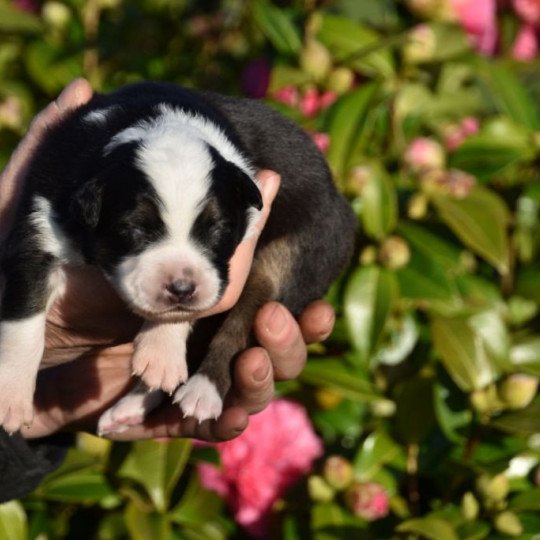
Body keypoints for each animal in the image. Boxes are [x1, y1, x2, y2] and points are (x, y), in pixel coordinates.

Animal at [0, 83, 356, 434]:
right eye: (134, 228)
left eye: (218, 229)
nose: (182, 288)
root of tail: (343, 207)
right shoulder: (38, 228)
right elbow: (24, 325)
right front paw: (11, 398)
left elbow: (188, 314)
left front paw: (161, 353)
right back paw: (130, 408)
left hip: (292, 260)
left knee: (238, 325)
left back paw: (200, 392)